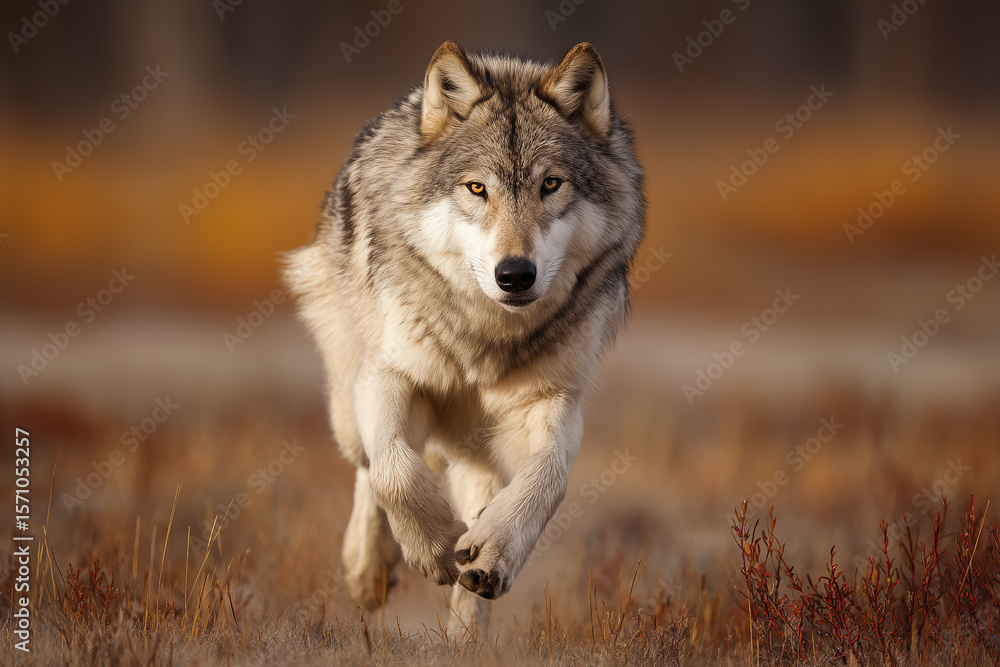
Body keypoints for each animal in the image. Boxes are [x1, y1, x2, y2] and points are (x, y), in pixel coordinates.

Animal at [284, 40, 645, 637]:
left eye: (551, 184)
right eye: (478, 188)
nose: (515, 274)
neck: (486, 340)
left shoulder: (553, 402)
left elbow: (548, 478)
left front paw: (492, 554)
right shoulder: (391, 376)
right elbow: (393, 469)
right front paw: (430, 547)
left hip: (480, 448)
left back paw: (464, 631)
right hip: (347, 398)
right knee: (366, 465)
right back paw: (369, 569)